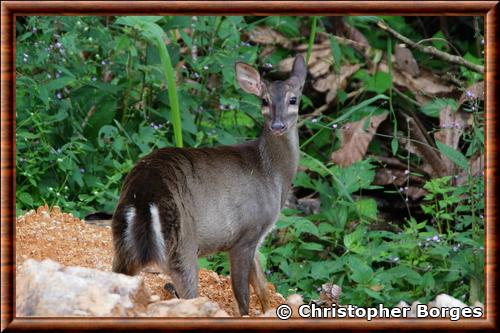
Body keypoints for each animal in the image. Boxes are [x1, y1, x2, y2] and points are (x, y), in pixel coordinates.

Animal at [100, 53, 306, 314]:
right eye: (264, 100)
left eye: (293, 99)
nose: (278, 126)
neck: (272, 174)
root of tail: (144, 198)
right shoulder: (246, 234)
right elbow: (243, 297)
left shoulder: (254, 238)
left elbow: (262, 287)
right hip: (182, 247)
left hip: (122, 246)